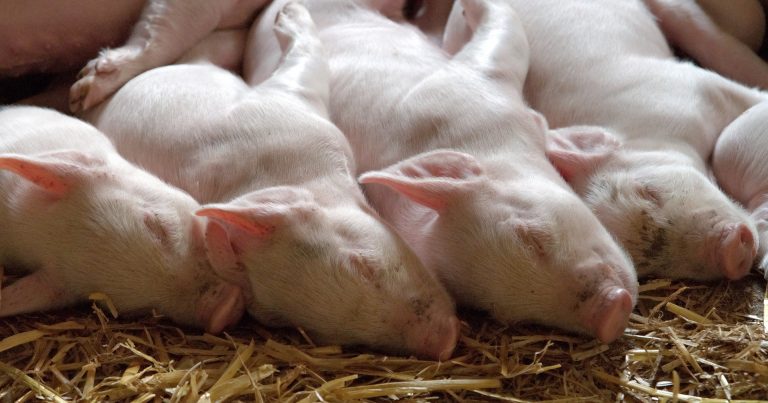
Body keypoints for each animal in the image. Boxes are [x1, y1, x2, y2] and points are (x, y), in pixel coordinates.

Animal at [79, 2, 460, 360]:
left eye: (364, 265)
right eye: (318, 330)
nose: (445, 344)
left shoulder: (290, 110)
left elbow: (305, 63)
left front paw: (289, 12)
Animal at [242, 0, 639, 343]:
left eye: (532, 236)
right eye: (500, 311)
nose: (611, 313)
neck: (483, 141)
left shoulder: (475, 80)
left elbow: (506, 29)